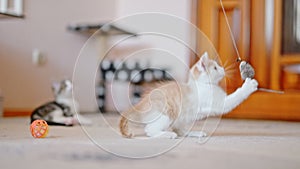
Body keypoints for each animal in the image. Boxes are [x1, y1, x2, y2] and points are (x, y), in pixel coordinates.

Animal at [119, 52, 258, 139]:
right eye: (215, 68)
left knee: (180, 130)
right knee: (150, 130)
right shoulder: (218, 103)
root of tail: (140, 105)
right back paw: (166, 135)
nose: (222, 69)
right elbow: (234, 98)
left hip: (181, 118)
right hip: (167, 114)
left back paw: (193, 133)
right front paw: (248, 86)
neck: (203, 84)